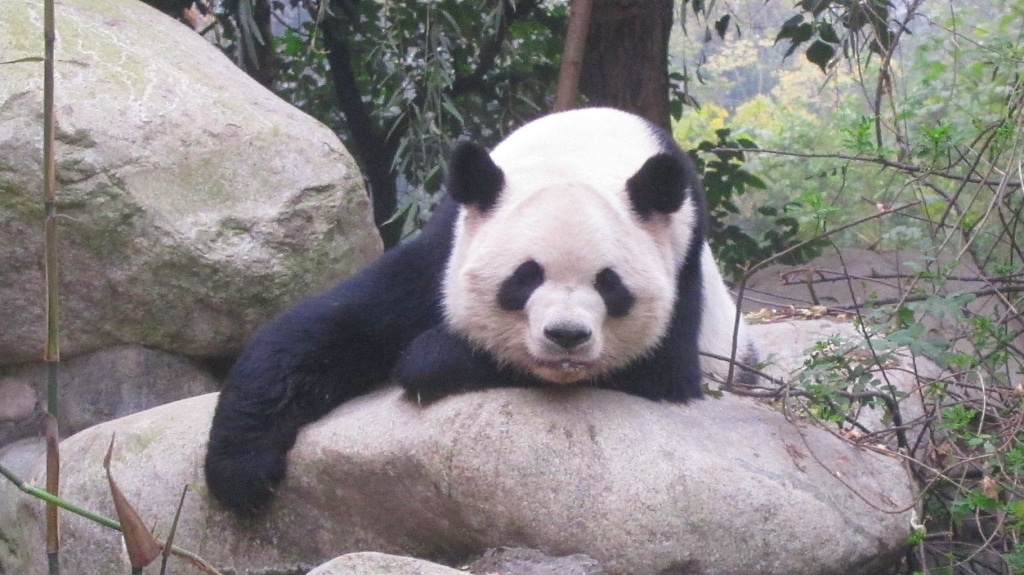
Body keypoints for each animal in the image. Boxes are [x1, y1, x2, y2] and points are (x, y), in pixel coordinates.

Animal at [203, 107, 757, 515]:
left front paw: (429, 357)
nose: (566, 336)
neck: (583, 151)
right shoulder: (446, 245)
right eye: (525, 277)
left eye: (609, 284)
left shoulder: (681, 264)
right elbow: (333, 326)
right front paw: (241, 471)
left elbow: (658, 371)